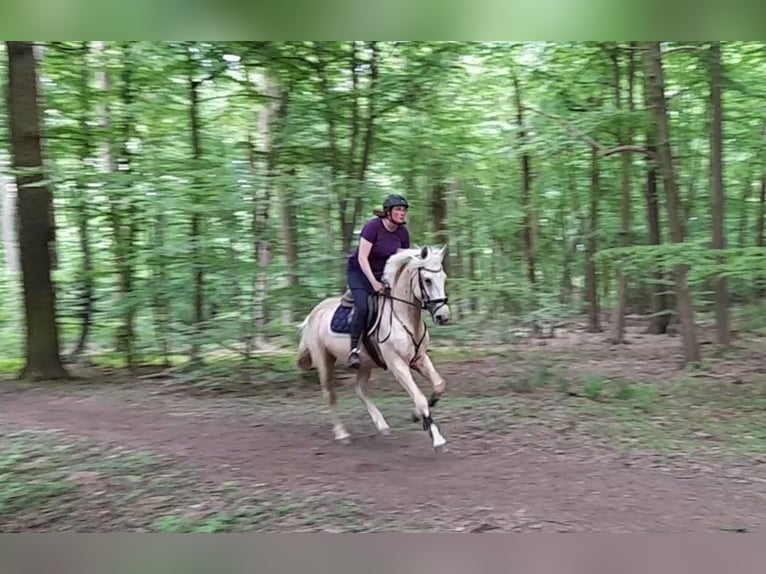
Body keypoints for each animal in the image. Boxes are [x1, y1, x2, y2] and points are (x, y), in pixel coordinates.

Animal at [296, 245, 452, 452]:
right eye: (427, 280)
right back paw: (342, 434)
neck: (404, 316)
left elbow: (439, 385)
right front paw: (437, 438)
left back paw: (381, 425)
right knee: (330, 394)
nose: (443, 316)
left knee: (360, 389)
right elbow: (419, 397)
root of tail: (313, 314)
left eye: (444, 277)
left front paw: (416, 415)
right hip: (324, 360)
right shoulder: (397, 364)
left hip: (365, 363)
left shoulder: (419, 358)